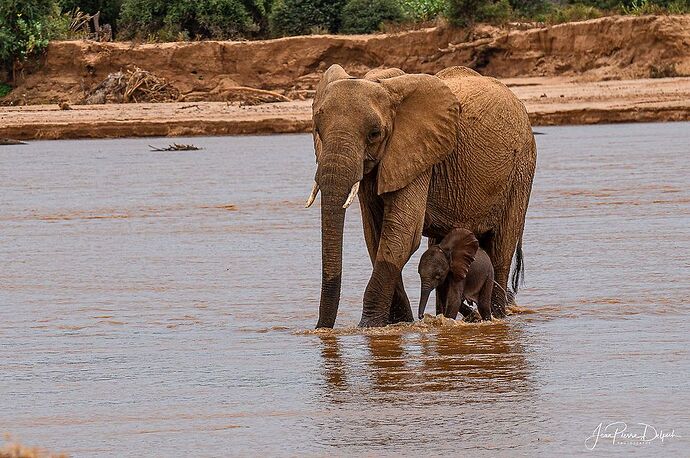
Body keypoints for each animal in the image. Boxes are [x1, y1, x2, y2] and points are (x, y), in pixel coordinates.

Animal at [306, 65, 536, 330]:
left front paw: (369, 327)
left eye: (374, 133)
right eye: (318, 130)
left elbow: (402, 235)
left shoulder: (419, 156)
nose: (322, 329)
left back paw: (496, 316)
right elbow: (375, 236)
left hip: (522, 170)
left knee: (500, 250)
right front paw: (399, 322)